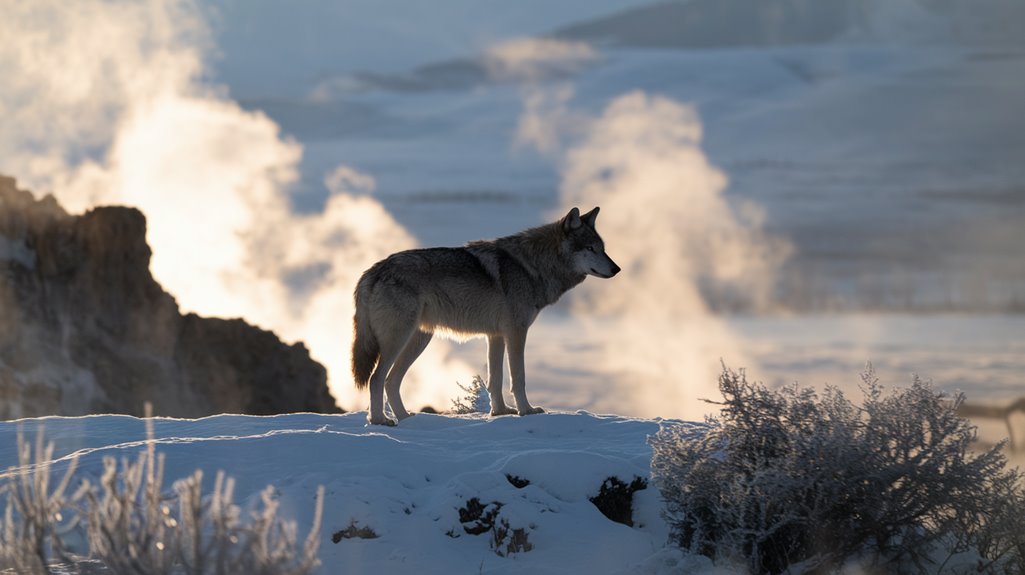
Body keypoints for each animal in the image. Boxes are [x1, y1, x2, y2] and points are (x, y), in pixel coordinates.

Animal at [351, 207, 620, 425]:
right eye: (590, 248)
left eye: (603, 249)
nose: (617, 269)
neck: (533, 267)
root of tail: (373, 270)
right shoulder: (516, 332)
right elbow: (518, 377)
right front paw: (526, 411)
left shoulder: (496, 335)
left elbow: (496, 378)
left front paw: (500, 413)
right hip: (400, 339)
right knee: (377, 378)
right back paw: (380, 421)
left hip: (418, 339)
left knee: (391, 381)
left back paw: (407, 419)